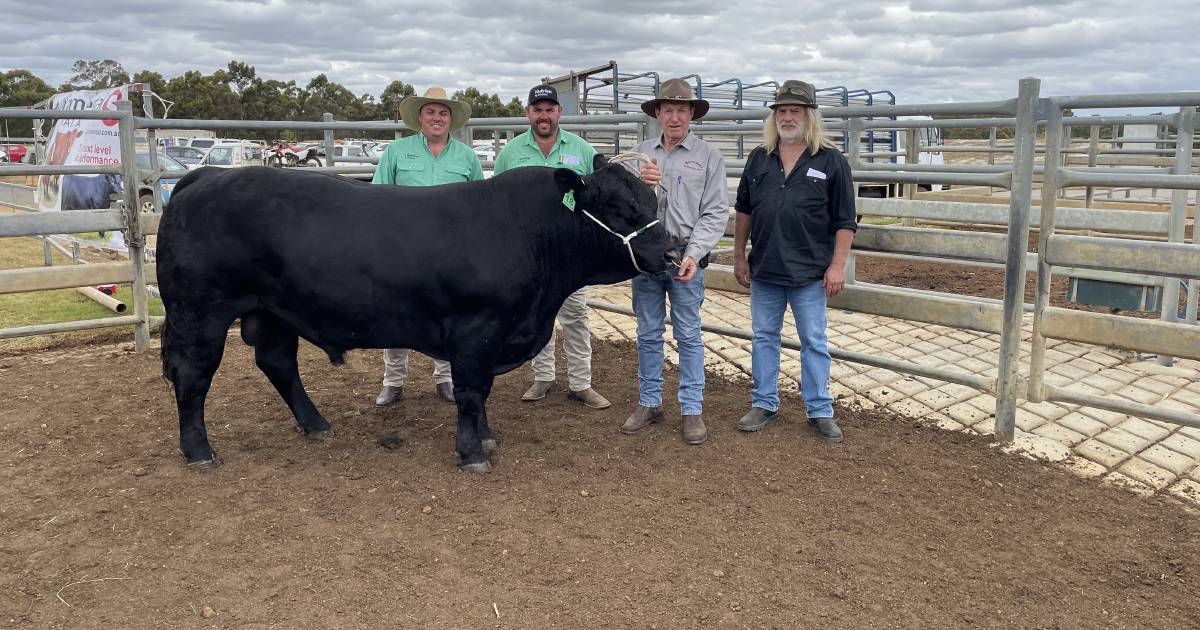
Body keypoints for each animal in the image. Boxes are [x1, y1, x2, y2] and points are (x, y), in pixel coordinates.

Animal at [157, 158, 676, 470]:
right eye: (621, 207)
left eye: (651, 200)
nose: (673, 252)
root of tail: (207, 174)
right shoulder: (475, 330)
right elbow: (470, 392)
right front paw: (472, 453)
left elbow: (481, 393)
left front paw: (486, 437)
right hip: (200, 313)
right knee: (193, 376)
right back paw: (199, 450)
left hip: (272, 312)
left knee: (278, 364)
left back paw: (317, 425)